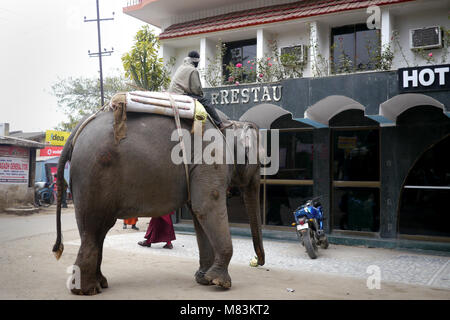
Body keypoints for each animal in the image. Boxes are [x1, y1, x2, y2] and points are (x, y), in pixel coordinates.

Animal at [52, 107, 266, 296]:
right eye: (260, 162)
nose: (257, 261)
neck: (229, 124)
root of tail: (78, 129)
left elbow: (198, 215)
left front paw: (203, 279)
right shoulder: (211, 159)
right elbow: (205, 207)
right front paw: (220, 283)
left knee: (96, 230)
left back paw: (99, 284)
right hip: (94, 175)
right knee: (94, 227)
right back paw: (88, 290)